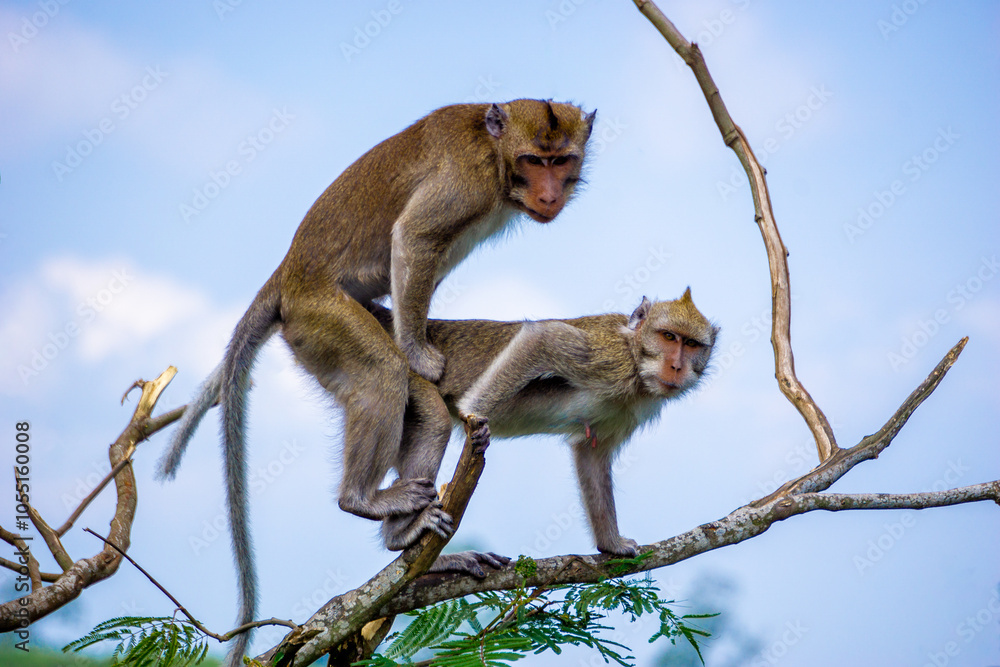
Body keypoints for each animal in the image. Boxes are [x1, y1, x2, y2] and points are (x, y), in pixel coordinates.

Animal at [158, 100, 595, 665]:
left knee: (426, 413)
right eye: (533, 160)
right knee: (384, 376)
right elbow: (413, 239)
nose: (550, 193)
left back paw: (410, 543)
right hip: (321, 318)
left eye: (562, 160)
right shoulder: (466, 181)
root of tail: (286, 275)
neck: (497, 157)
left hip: (313, 341)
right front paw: (417, 350)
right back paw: (363, 498)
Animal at [373, 288, 718, 557]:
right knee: (436, 422)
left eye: (691, 344)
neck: (636, 362)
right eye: (668, 337)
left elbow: (591, 453)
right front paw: (472, 413)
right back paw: (400, 535)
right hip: (403, 376)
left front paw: (611, 544)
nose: (676, 366)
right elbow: (544, 338)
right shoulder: (609, 359)